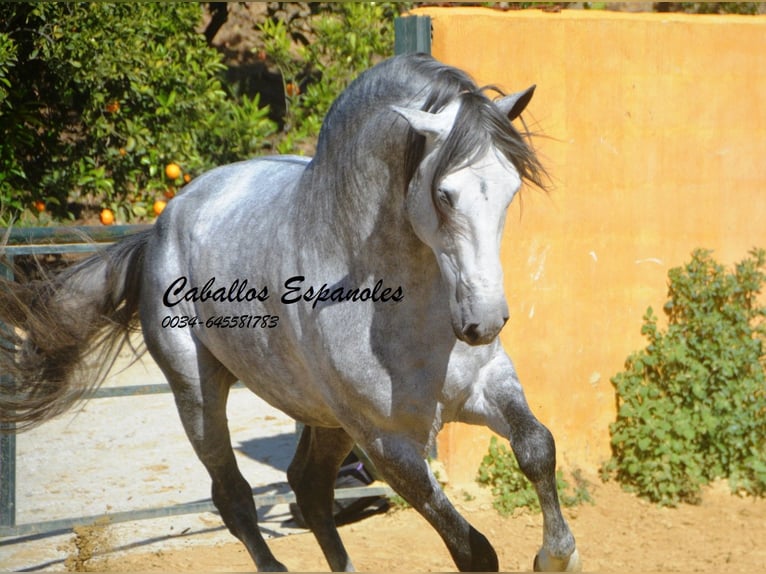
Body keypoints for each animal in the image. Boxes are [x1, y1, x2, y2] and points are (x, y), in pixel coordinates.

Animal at [1, 53, 584, 572]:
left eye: (511, 188)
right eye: (444, 194)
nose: (483, 323)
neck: (403, 310)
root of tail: (159, 228)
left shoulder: (488, 386)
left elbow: (538, 447)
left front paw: (556, 555)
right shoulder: (387, 445)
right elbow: (473, 550)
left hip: (323, 417)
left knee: (308, 488)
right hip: (199, 395)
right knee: (234, 496)